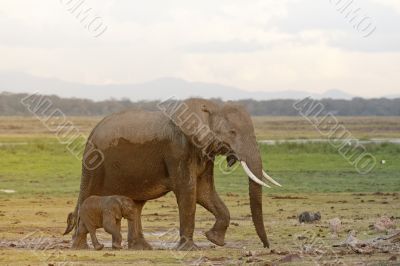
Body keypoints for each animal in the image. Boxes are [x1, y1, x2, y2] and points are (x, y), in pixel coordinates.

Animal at [63, 97, 282, 249]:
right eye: (233, 132)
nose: (267, 246)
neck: (209, 106)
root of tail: (92, 132)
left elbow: (204, 193)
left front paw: (214, 240)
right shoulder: (178, 150)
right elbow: (188, 192)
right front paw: (191, 249)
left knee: (136, 204)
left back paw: (142, 248)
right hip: (94, 164)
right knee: (89, 195)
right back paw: (81, 247)